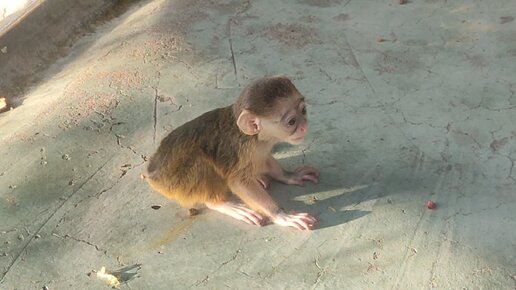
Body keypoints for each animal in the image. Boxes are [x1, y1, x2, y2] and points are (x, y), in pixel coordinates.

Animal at [142, 76, 318, 230]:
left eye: (303, 111)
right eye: (292, 122)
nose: (304, 126)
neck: (254, 137)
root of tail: (152, 173)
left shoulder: (260, 146)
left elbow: (264, 158)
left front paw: (288, 175)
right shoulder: (243, 149)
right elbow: (237, 182)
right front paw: (281, 215)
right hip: (174, 183)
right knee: (200, 161)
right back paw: (219, 203)